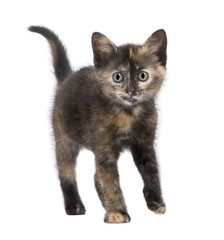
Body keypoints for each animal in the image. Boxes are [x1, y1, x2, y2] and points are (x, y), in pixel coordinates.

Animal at [28, 25, 167, 223]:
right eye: (117, 77)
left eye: (143, 76)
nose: (131, 91)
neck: (128, 114)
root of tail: (67, 78)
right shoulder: (104, 150)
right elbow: (109, 181)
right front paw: (117, 212)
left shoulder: (145, 144)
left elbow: (152, 172)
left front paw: (155, 202)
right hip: (64, 137)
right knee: (66, 171)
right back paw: (74, 205)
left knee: (96, 176)